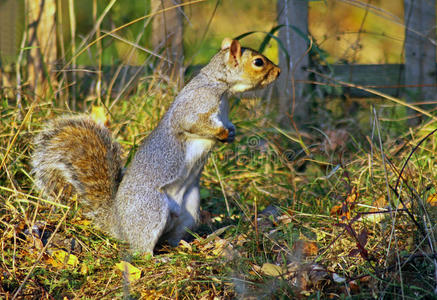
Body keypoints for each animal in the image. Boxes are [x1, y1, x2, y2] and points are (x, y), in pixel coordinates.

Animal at [32, 38, 282, 253]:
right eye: (258, 62)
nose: (279, 72)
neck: (219, 84)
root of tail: (119, 224)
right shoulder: (196, 105)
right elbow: (191, 123)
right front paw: (221, 134)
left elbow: (228, 125)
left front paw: (231, 134)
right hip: (152, 209)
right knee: (142, 249)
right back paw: (156, 256)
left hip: (190, 210)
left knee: (172, 236)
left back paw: (183, 245)